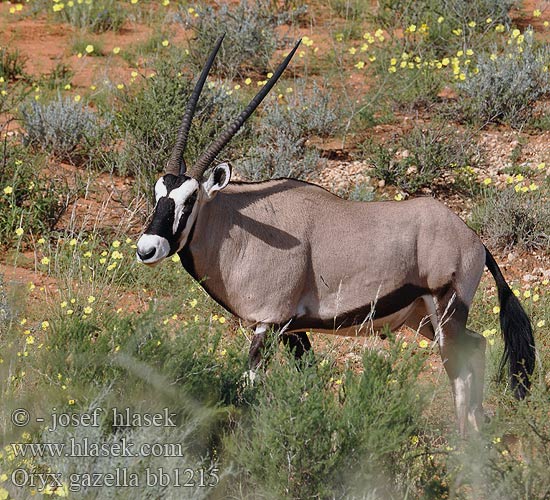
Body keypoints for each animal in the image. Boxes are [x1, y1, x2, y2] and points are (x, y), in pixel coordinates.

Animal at [136, 36, 536, 434]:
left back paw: (464, 442)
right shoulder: (292, 330)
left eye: (190, 200)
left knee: (460, 374)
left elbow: (250, 385)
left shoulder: (268, 324)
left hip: (446, 311)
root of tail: (475, 241)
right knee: (478, 346)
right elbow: (309, 379)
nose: (146, 248)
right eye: (158, 193)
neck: (241, 225)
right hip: (423, 318)